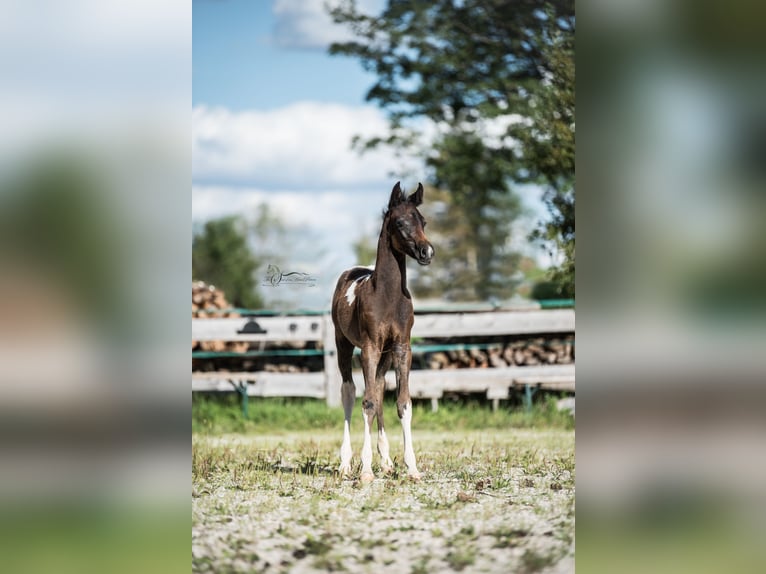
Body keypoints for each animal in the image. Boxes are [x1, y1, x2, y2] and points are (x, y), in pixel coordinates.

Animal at [332, 183, 436, 482]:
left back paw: (387, 461)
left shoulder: (401, 348)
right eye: (400, 223)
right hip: (343, 345)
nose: (427, 252)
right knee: (349, 392)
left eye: (423, 221)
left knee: (378, 388)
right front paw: (366, 469)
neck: (387, 296)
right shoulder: (369, 347)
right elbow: (366, 402)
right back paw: (346, 463)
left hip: (385, 356)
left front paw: (411, 467)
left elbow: (402, 402)